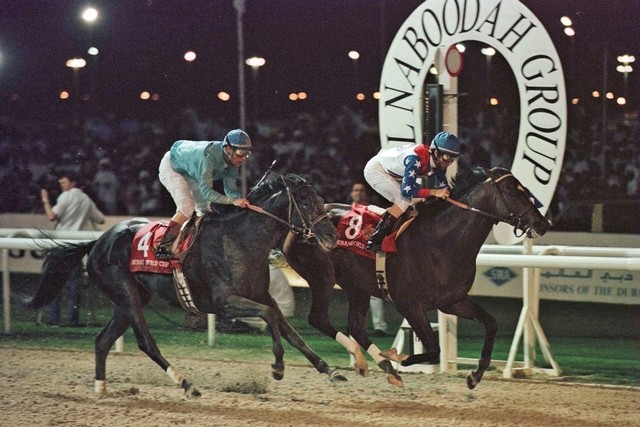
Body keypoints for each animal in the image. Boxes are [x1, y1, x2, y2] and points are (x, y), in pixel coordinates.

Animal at [28, 173, 344, 398]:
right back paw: (186, 384)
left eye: (320, 199)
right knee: (145, 342)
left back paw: (101, 387)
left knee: (102, 340)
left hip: (130, 299)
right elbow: (270, 317)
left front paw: (329, 370)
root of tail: (96, 242)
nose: (331, 236)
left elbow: (287, 327)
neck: (241, 240)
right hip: (126, 294)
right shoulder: (223, 303)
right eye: (305, 202)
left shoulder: (262, 295)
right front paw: (278, 366)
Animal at [284, 166, 552, 390]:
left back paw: (382, 367)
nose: (542, 224)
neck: (442, 241)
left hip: (357, 285)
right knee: (318, 318)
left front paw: (475, 375)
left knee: (356, 327)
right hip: (322, 277)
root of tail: (296, 227)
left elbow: (491, 323)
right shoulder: (409, 304)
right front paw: (398, 356)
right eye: (511, 191)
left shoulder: (452, 301)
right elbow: (433, 349)